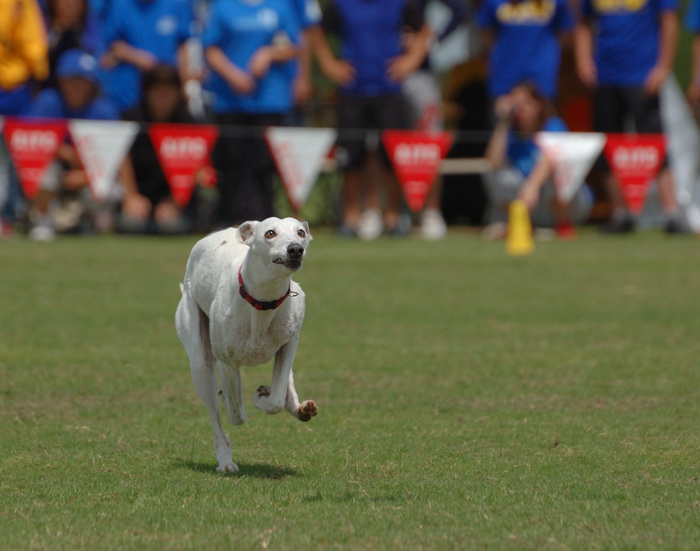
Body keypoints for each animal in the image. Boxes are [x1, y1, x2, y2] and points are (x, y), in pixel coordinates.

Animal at [175, 218, 318, 472]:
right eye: (270, 233)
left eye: (301, 232)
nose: (295, 249)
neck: (263, 301)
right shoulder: (227, 362)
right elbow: (236, 414)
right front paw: (246, 399)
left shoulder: (289, 343)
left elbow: (276, 400)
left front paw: (265, 397)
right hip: (200, 363)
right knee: (217, 417)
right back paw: (225, 461)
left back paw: (297, 407)